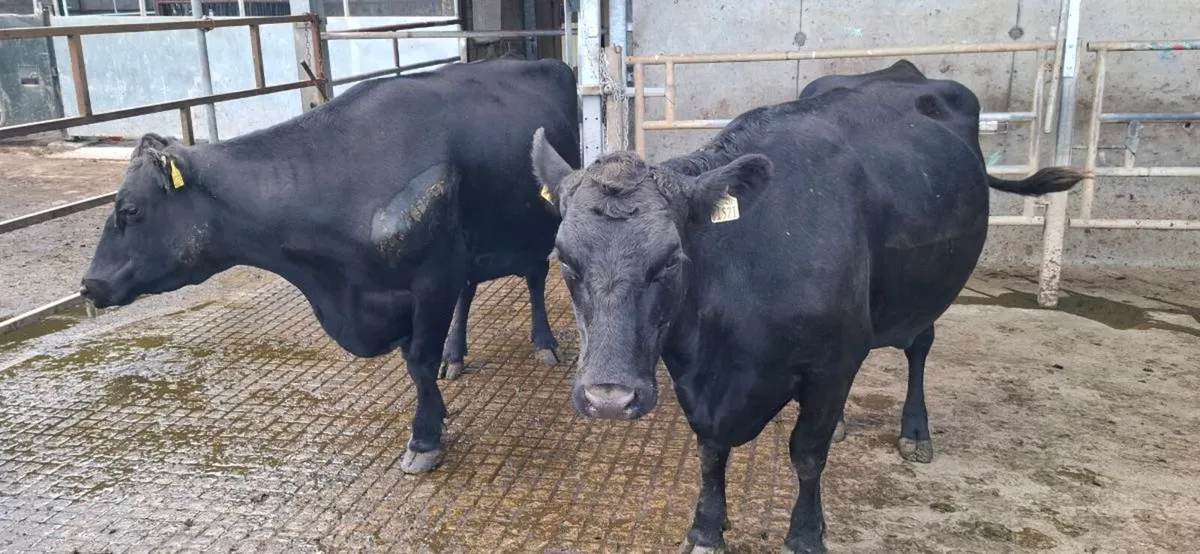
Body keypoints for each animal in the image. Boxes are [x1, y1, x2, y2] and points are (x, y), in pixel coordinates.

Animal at [79, 58, 581, 475]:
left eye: (129, 210)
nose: (89, 284)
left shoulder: (432, 278)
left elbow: (418, 362)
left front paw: (424, 440)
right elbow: (419, 361)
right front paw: (437, 409)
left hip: (535, 225)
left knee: (534, 278)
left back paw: (543, 343)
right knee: (472, 290)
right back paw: (455, 355)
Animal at [529, 60, 1082, 553]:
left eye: (669, 260)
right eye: (564, 259)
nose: (608, 399)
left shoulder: (834, 361)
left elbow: (807, 454)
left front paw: (806, 536)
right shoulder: (694, 375)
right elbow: (709, 449)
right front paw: (706, 530)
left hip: (926, 292)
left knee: (919, 347)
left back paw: (915, 430)